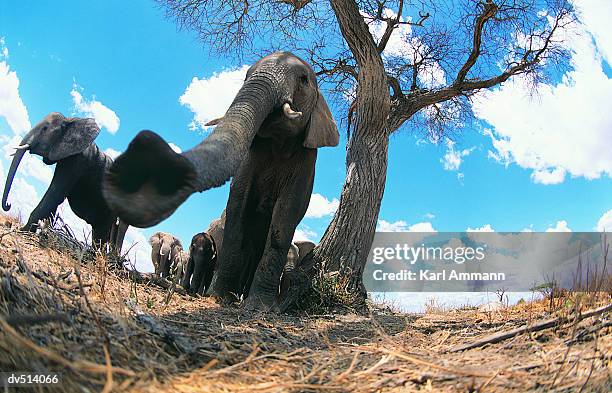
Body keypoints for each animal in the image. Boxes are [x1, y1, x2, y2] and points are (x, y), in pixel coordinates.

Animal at [1, 112, 127, 250]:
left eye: (45, 129)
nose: (8, 205)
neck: (69, 121)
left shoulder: (77, 160)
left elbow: (54, 194)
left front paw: (22, 231)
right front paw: (42, 232)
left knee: (102, 232)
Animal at [102, 51, 338, 310]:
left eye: (304, 80)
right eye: (246, 75)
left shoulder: (306, 163)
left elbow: (286, 214)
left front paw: (259, 307)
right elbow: (238, 201)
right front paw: (220, 297)